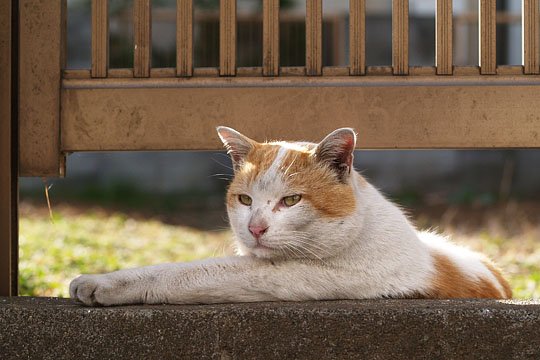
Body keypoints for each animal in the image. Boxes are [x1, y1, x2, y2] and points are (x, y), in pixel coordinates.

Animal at [70, 125, 510, 306]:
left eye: (292, 200)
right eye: (245, 200)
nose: (255, 228)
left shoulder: (277, 277)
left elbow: (178, 275)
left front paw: (97, 284)